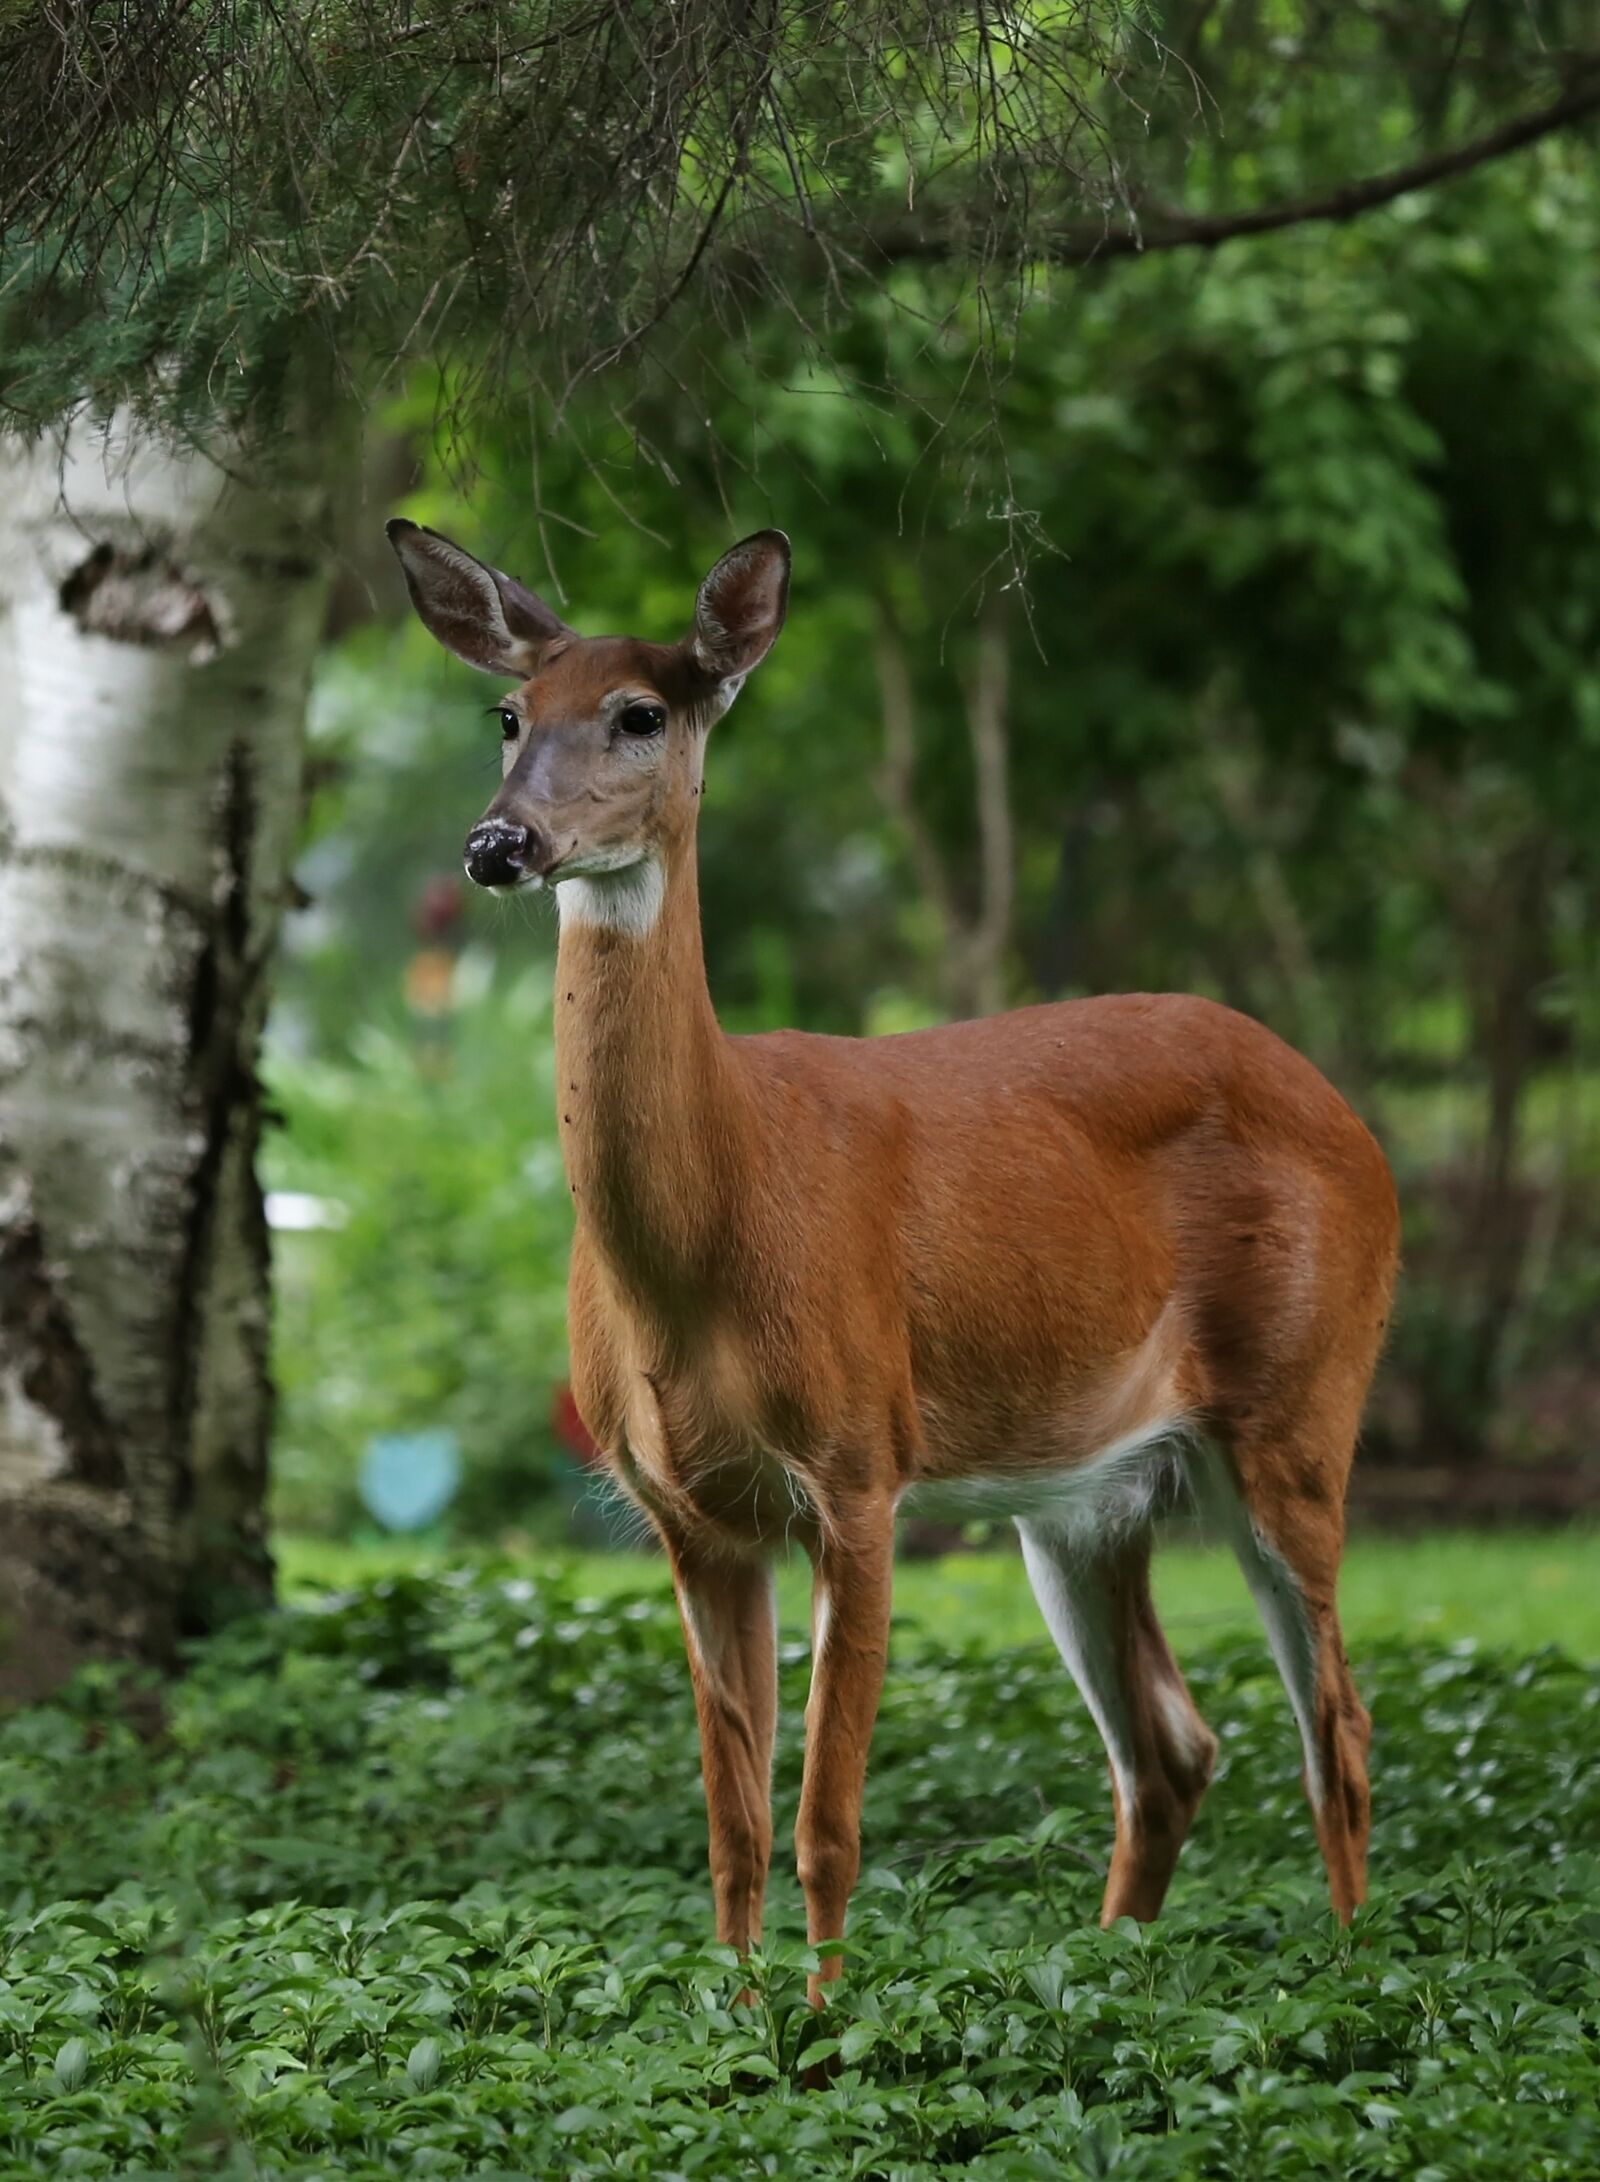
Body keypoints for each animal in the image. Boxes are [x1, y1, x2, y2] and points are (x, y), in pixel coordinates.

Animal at [387, 517, 1400, 2004]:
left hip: (1302, 1403)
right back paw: (1111, 1977)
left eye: (640, 713)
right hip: (1086, 1496)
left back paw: (1349, 1976)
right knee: (1171, 1745)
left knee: (1338, 1724)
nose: (498, 841)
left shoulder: (861, 1461)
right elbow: (733, 1822)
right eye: (509, 715)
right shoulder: (686, 1512)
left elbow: (828, 1818)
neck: (706, 1243)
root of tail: (1357, 1125)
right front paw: (736, 2013)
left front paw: (819, 2026)